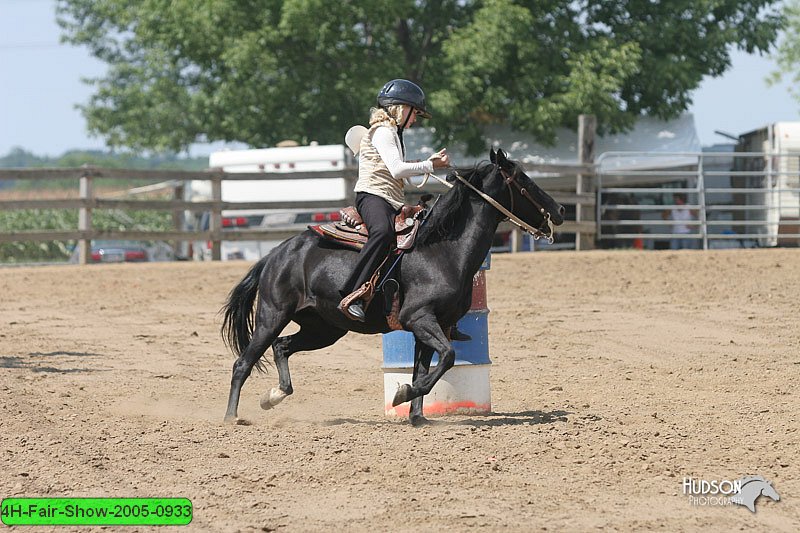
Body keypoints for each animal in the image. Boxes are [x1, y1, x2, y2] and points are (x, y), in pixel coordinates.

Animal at [222, 149, 564, 424]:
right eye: (524, 180)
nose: (560, 211)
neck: (443, 251)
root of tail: (276, 254)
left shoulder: (434, 325)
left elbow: (424, 367)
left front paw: (417, 417)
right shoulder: (420, 318)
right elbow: (448, 357)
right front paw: (403, 393)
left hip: (324, 328)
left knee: (282, 347)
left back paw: (274, 395)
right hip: (272, 315)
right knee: (242, 362)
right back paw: (231, 417)